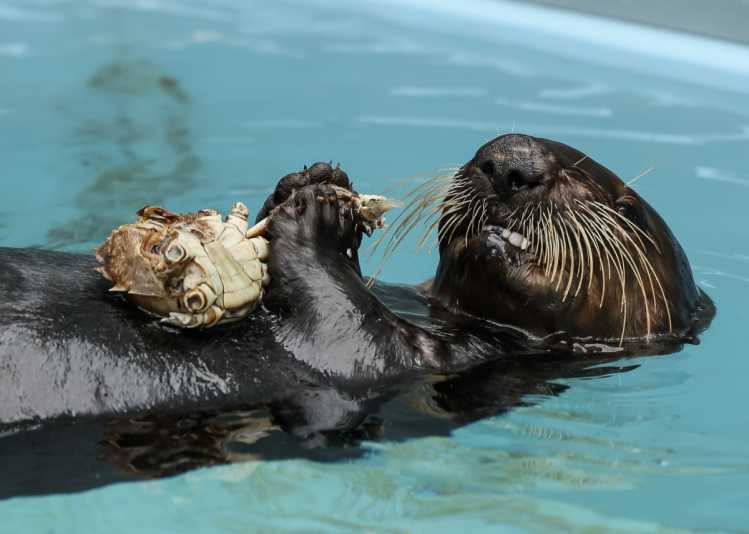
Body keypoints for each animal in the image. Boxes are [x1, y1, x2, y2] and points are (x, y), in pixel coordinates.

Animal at [0, 134, 713, 436]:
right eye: (490, 152)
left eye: (624, 208)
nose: (509, 161)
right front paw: (310, 178)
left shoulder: (393, 362)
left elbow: (347, 328)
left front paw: (315, 213)